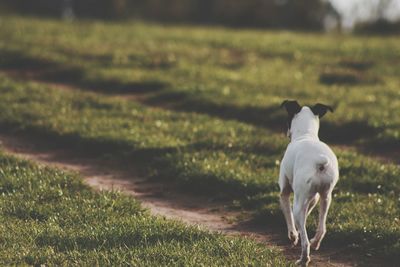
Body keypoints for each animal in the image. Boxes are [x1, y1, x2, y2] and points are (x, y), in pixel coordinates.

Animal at [280, 100, 340, 266]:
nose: (286, 133)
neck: (306, 135)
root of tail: (319, 162)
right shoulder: (313, 198)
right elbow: (305, 219)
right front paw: (300, 231)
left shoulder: (284, 192)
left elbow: (289, 216)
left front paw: (293, 235)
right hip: (326, 197)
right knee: (322, 228)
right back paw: (315, 243)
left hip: (298, 203)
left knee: (304, 242)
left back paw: (303, 259)